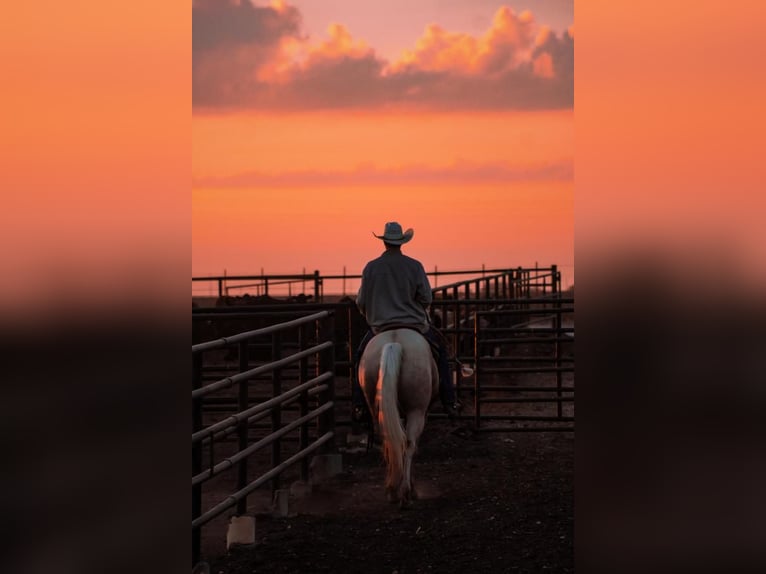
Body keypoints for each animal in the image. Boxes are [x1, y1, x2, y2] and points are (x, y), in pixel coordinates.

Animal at [356, 328, 436, 508]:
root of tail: (393, 344)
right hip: (416, 411)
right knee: (409, 443)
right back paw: (406, 492)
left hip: (378, 408)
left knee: (390, 440)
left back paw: (392, 491)